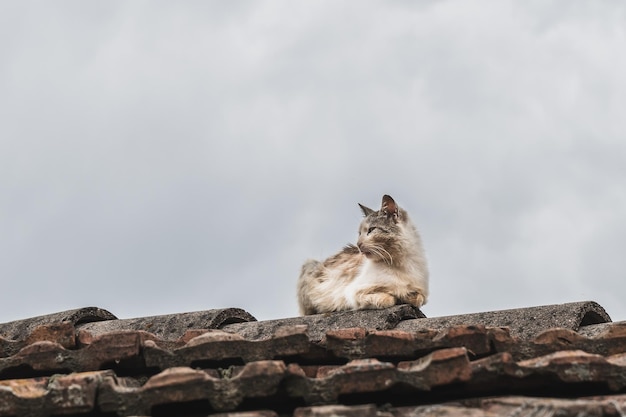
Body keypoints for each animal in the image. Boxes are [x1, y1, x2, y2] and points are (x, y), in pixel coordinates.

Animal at [294, 193, 426, 314]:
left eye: (371, 230)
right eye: (359, 233)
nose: (358, 244)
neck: (399, 264)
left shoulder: (421, 292)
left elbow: (417, 298)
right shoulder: (353, 293)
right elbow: (387, 299)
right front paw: (395, 297)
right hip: (309, 266)